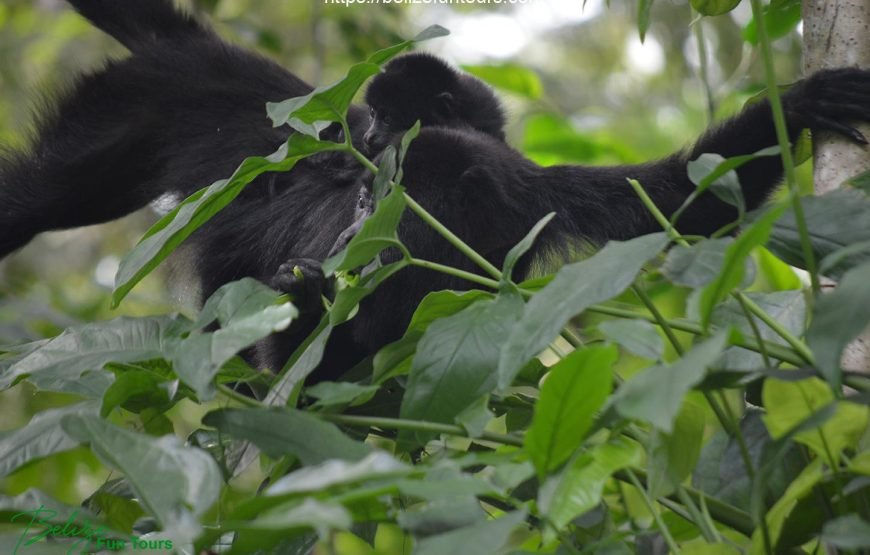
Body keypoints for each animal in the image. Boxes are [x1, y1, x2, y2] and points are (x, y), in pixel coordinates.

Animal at [2, 0, 869, 382]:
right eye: (360, 205)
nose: (343, 243)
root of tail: (214, 58)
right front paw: (304, 300)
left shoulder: (537, 198)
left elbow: (682, 198)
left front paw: (804, 106)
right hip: (128, 112)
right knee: (35, 200)